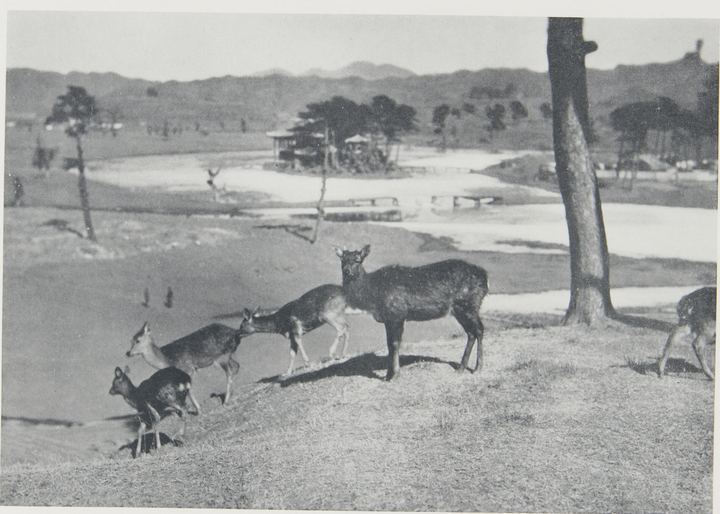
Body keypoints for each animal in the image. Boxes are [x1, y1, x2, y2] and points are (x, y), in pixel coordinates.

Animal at [335, 244, 488, 380]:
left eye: (357, 260)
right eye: (342, 260)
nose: (347, 271)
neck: (372, 296)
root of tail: (484, 277)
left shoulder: (397, 313)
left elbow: (394, 344)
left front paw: (395, 375)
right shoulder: (388, 318)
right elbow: (389, 344)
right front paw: (388, 375)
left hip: (469, 304)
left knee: (479, 330)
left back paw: (478, 368)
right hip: (460, 309)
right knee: (471, 333)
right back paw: (461, 368)